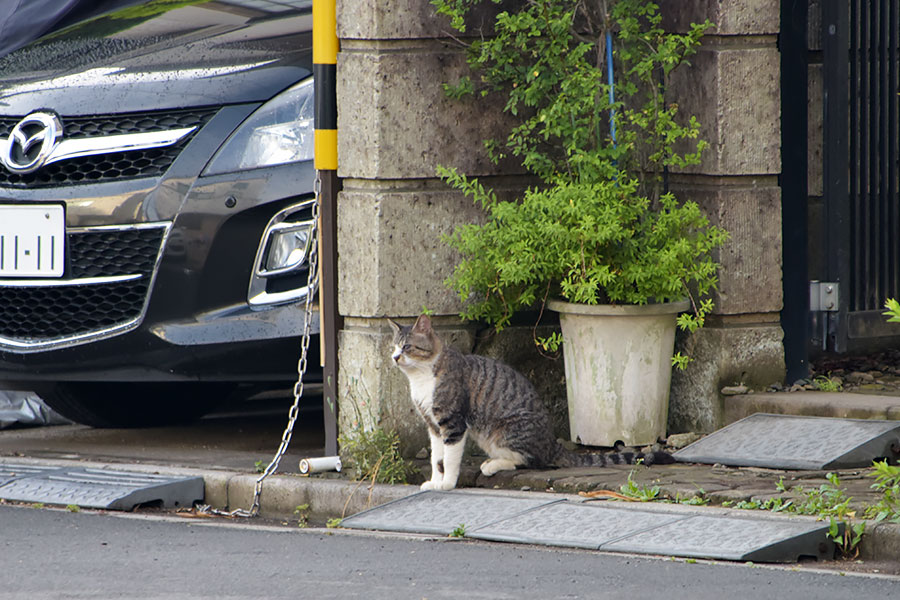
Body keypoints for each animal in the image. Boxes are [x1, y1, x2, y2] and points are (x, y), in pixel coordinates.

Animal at [388, 312, 676, 490]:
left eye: (408, 347)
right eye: (394, 346)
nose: (394, 358)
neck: (421, 378)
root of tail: (552, 443)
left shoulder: (453, 422)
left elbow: (448, 458)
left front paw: (447, 484)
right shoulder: (433, 425)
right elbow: (436, 459)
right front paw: (435, 481)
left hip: (505, 429)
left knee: (533, 460)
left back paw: (492, 466)